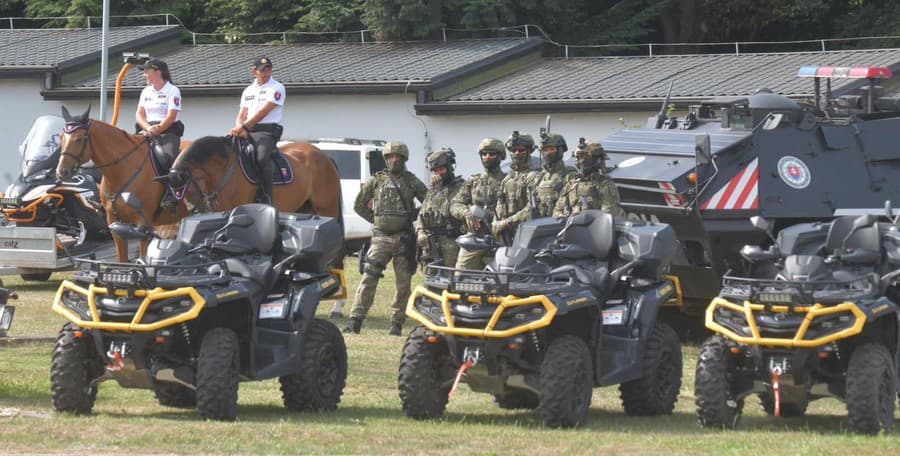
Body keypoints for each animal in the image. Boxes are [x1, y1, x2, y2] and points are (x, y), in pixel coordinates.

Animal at [56, 106, 192, 260]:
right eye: (61, 137)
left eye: (78, 139)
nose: (61, 172)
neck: (122, 170)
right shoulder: (115, 224)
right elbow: (122, 260)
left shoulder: (143, 226)